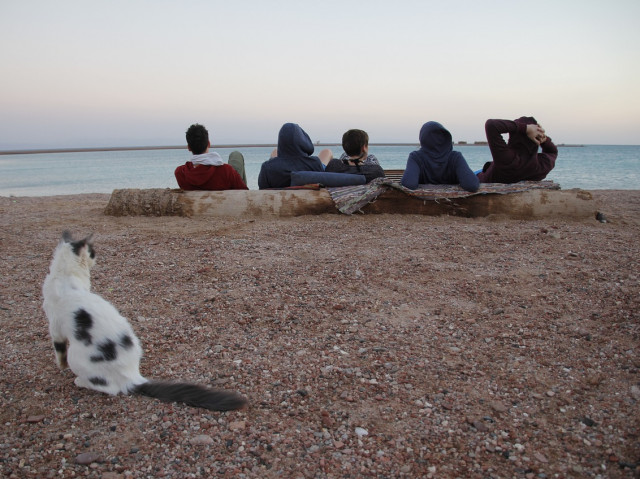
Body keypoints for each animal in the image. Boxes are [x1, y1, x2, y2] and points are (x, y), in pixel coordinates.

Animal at [42, 232, 248, 412]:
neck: (65, 275)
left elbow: (59, 350)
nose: (96, 258)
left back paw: (80, 381)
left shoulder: (55, 326)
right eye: (92, 252)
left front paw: (60, 366)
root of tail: (132, 376)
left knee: (109, 388)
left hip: (77, 356)